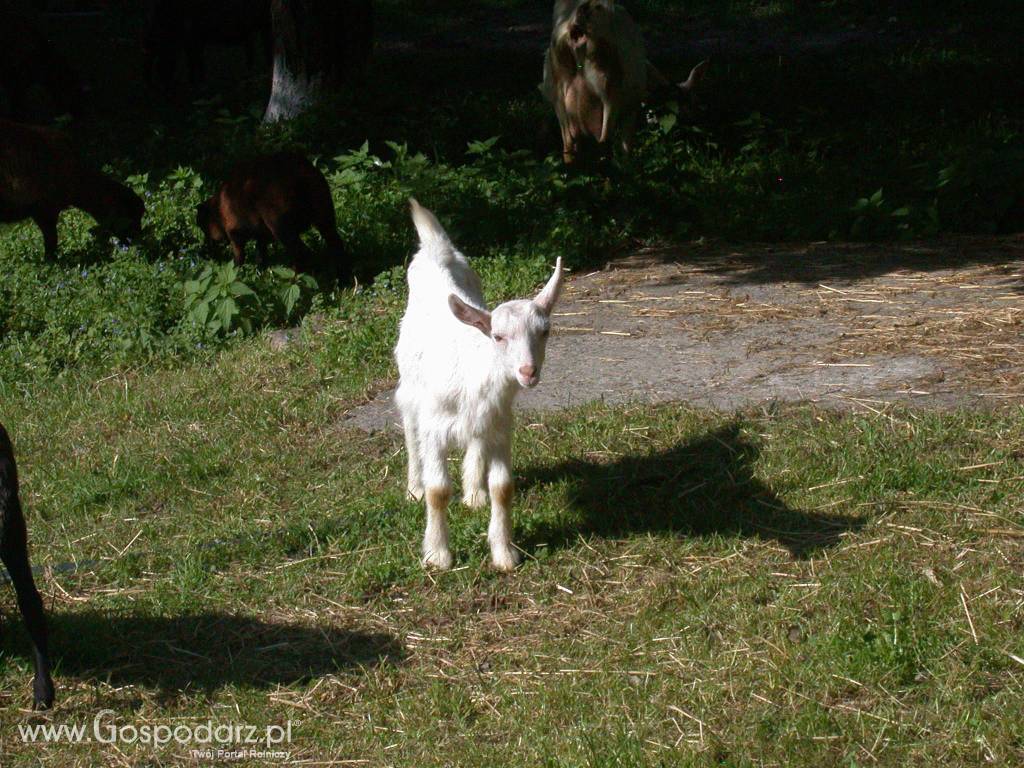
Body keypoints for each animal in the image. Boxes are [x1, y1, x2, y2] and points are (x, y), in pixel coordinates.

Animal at [195, 151, 352, 282]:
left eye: (203, 229)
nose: (202, 253)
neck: (218, 209)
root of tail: (300, 173)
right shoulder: (261, 234)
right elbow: (261, 254)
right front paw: (260, 273)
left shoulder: (236, 235)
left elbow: (239, 258)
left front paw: (238, 274)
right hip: (324, 216)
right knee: (336, 244)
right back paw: (343, 281)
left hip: (281, 227)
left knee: (302, 254)